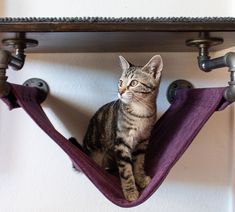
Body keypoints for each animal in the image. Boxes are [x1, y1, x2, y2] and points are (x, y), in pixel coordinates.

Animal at [69, 55, 162, 202]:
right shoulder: (121, 144)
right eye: (120, 82)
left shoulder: (143, 142)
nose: (120, 91)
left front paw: (140, 178)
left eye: (134, 83)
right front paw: (130, 191)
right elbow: (126, 171)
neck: (141, 113)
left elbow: (139, 162)